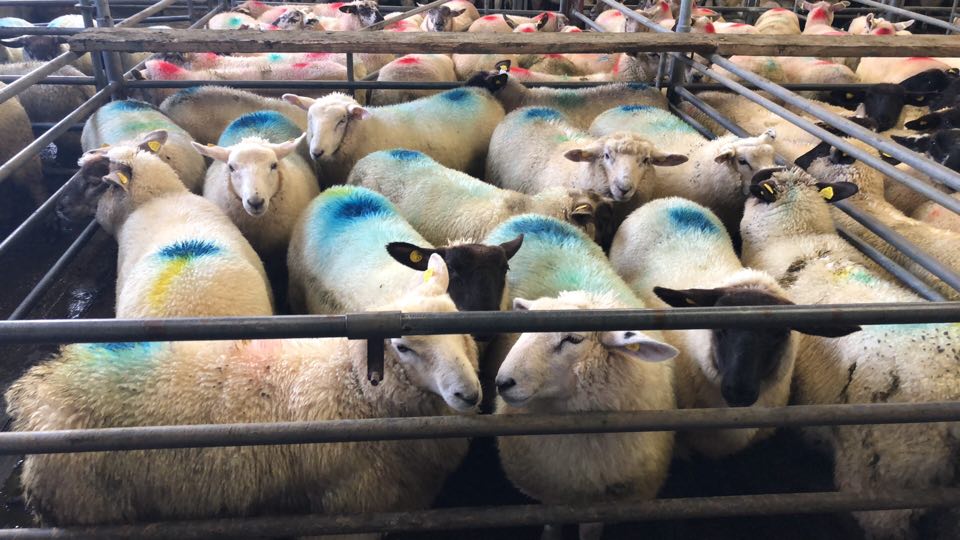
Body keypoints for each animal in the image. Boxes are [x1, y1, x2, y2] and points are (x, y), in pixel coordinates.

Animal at [7, 256, 481, 528]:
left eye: (459, 322)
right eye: (403, 346)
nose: (470, 394)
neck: (353, 389)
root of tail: (42, 400)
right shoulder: (353, 503)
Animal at [484, 214, 677, 540]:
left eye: (573, 339)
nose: (503, 383)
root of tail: (531, 217)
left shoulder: (603, 500)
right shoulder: (553, 490)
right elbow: (552, 522)